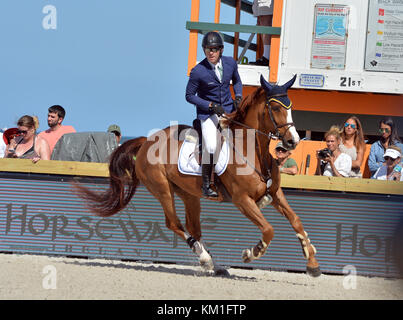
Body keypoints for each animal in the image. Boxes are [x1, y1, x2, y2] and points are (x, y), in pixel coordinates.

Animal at [76, 75, 322, 278]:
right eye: (275, 107)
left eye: (291, 106)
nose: (293, 141)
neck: (252, 151)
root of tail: (146, 141)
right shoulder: (242, 200)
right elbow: (269, 230)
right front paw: (252, 253)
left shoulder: (276, 193)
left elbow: (297, 221)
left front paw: (311, 262)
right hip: (163, 189)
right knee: (174, 223)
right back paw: (205, 258)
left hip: (189, 194)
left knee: (192, 226)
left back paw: (214, 264)